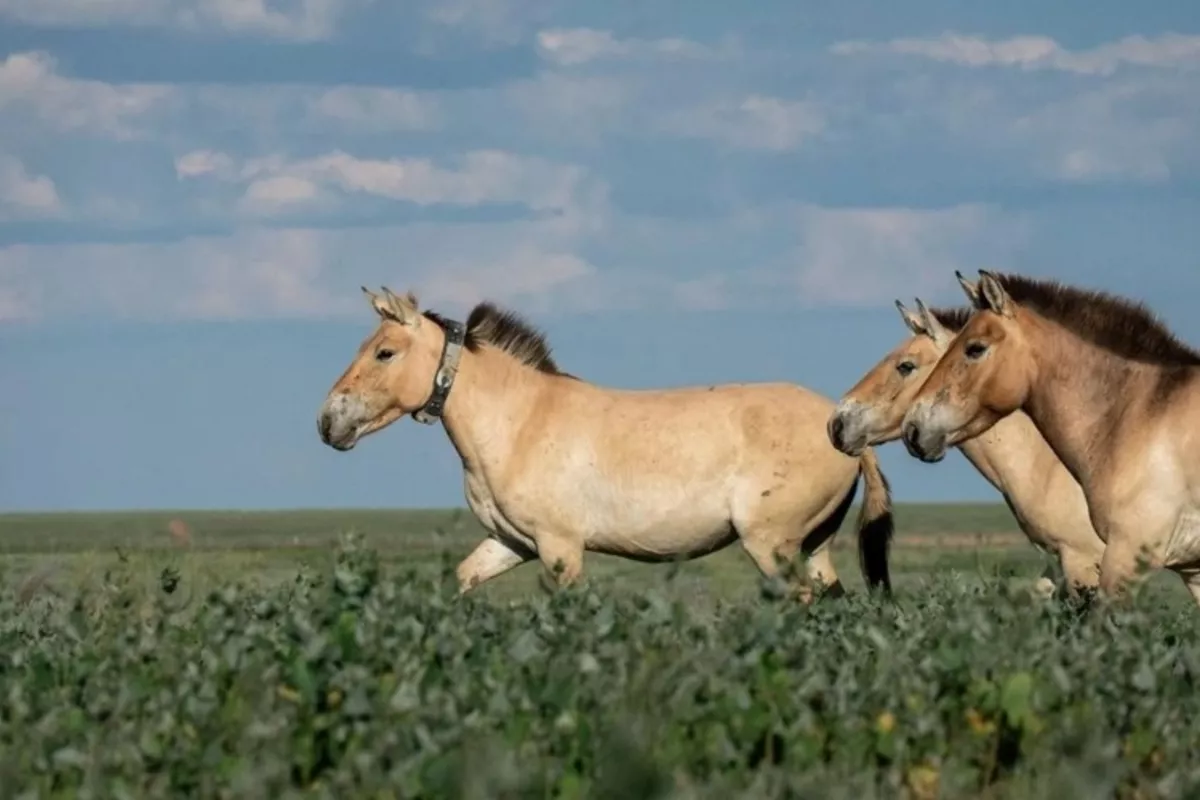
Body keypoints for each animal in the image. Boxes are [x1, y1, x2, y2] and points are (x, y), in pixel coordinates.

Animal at [317, 286, 896, 600]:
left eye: (385, 352)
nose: (327, 422)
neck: (519, 422)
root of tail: (840, 427)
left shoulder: (560, 549)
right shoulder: (510, 543)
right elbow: (460, 581)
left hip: (771, 545)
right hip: (812, 544)